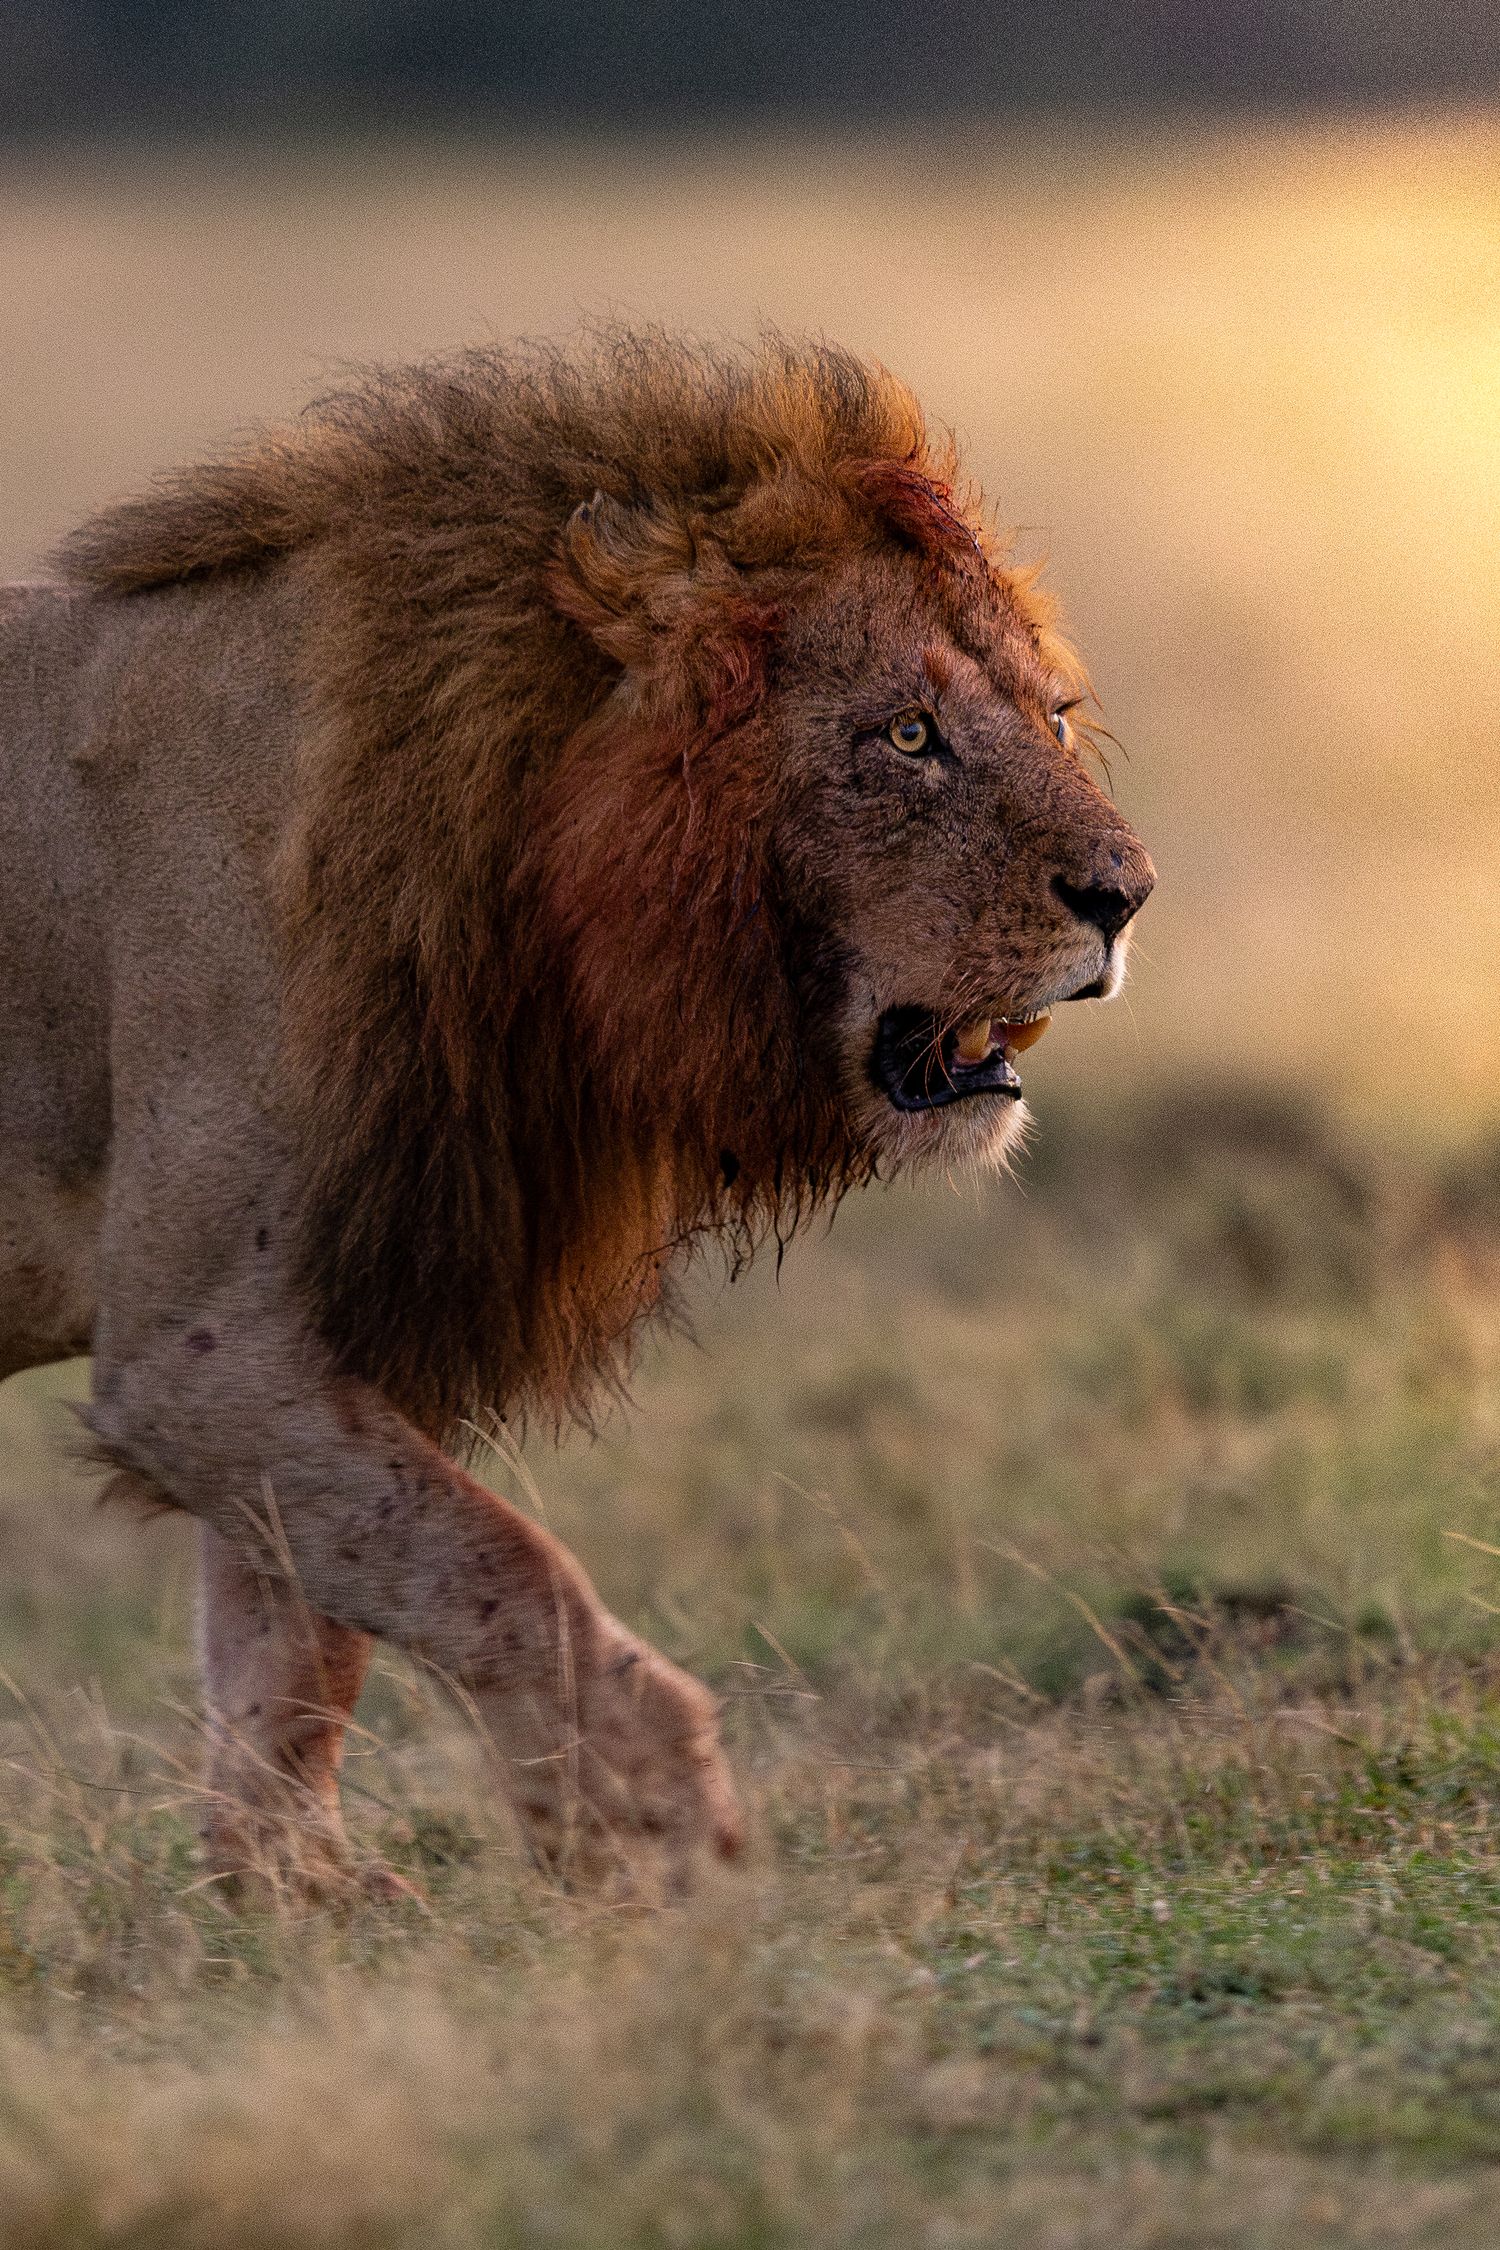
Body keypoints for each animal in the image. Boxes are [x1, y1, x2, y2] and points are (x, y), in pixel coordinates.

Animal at [0, 331, 1152, 1897]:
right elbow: (499, 1569)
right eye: (908, 734)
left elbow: (296, 1639)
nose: (1128, 895)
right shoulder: (193, 1351)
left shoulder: (334, 1311)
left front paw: (293, 1893)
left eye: (1052, 716)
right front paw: (664, 1832)